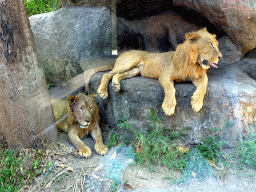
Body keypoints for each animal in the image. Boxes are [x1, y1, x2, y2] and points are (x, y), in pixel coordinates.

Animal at [84, 28, 222, 115]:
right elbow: (170, 89)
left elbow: (204, 86)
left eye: (217, 44)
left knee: (117, 75)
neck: (194, 63)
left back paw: (116, 85)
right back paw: (102, 91)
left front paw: (197, 103)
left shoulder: (199, 77)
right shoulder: (165, 75)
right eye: (210, 44)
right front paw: (168, 107)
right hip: (128, 62)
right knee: (107, 74)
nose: (220, 57)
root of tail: (121, 54)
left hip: (134, 71)